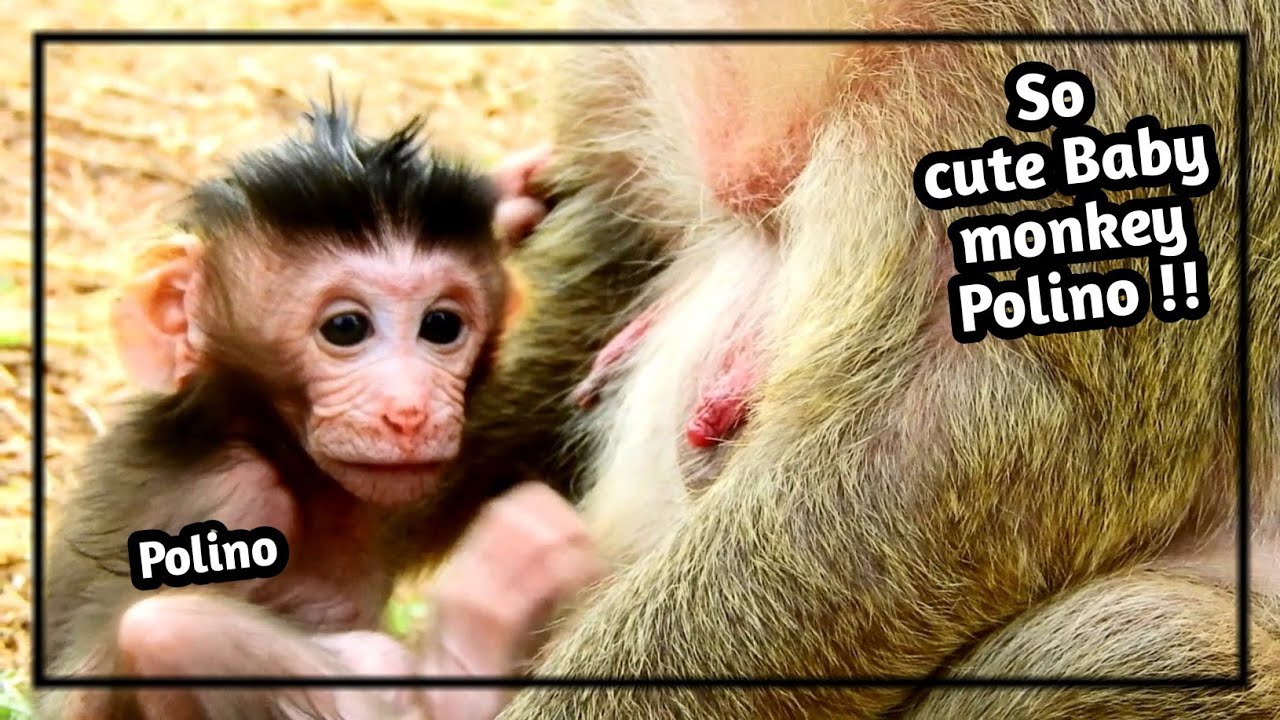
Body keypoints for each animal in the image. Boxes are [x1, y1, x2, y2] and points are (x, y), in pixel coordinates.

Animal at [41, 100, 599, 720]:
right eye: (346, 327)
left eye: (441, 325)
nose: (409, 411)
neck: (265, 440)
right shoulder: (225, 499)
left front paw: (514, 192)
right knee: (161, 629)